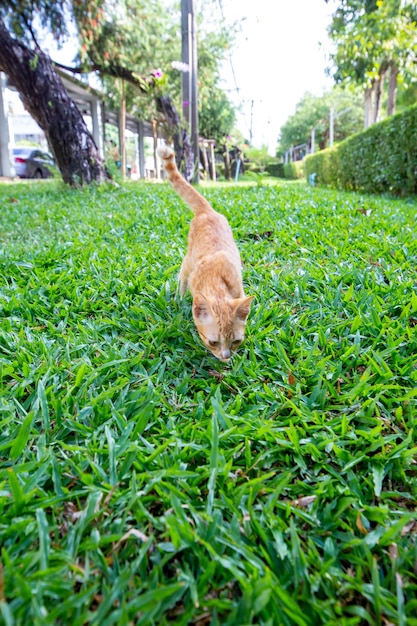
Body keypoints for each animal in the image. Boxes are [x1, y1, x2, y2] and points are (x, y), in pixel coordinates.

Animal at [157, 144, 252, 360]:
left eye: (236, 341)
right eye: (213, 342)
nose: (226, 356)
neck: (216, 280)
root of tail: (207, 211)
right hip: (188, 260)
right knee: (182, 278)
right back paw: (179, 298)